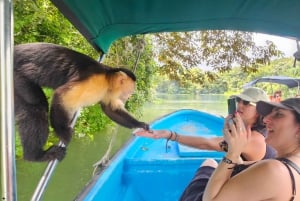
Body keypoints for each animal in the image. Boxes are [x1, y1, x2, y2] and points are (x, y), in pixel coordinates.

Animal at [14, 42, 150, 162]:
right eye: (129, 92)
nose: (128, 97)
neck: (107, 79)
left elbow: (110, 109)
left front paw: (140, 124)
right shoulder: (96, 82)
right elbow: (61, 95)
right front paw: (63, 132)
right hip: (18, 77)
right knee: (37, 106)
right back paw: (36, 156)